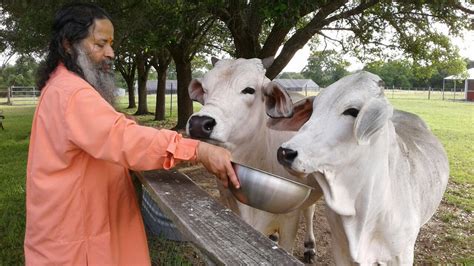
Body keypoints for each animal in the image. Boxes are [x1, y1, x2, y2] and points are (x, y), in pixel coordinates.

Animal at [187, 57, 324, 262]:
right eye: (205, 89)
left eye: (249, 90)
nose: (198, 123)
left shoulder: (290, 219)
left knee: (310, 211)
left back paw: (309, 247)